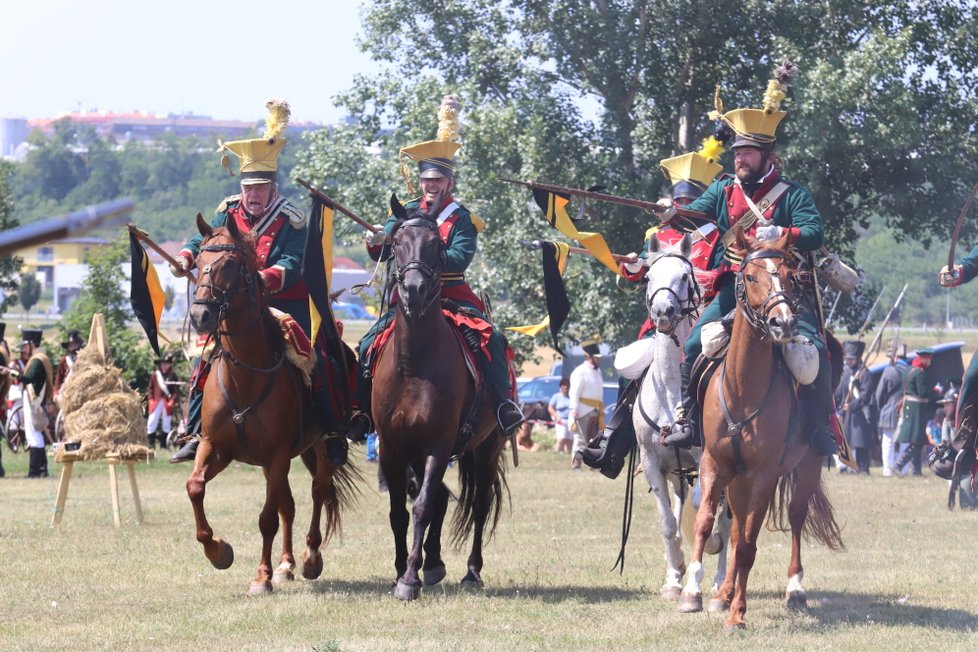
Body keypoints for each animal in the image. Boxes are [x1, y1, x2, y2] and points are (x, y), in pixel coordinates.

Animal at [187, 215, 354, 596]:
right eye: (198, 261)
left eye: (230, 264)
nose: (200, 315)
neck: (245, 374)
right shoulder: (216, 447)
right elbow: (195, 486)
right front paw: (219, 551)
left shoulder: (277, 455)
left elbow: (266, 519)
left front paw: (260, 577)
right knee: (288, 506)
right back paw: (285, 565)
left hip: (319, 450)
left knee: (317, 492)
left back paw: (308, 559)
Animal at [374, 199, 508, 600]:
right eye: (396, 241)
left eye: (436, 244)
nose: (415, 290)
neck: (414, 364)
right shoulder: (391, 446)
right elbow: (401, 512)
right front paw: (403, 571)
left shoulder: (438, 443)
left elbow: (421, 508)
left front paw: (408, 579)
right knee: (440, 499)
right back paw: (431, 564)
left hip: (487, 447)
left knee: (478, 504)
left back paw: (470, 571)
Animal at [628, 233, 728, 600]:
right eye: (648, 277)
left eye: (685, 276)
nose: (663, 312)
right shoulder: (654, 464)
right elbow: (668, 523)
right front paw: (673, 577)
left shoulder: (707, 462)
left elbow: (707, 515)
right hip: (675, 473)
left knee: (726, 519)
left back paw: (719, 582)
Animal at [680, 234, 840, 632]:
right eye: (750, 276)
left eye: (790, 275)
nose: (783, 323)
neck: (742, 388)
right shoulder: (714, 464)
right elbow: (706, 524)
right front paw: (693, 593)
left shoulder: (765, 474)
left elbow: (749, 545)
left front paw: (738, 613)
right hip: (737, 479)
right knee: (736, 527)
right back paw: (722, 594)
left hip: (805, 465)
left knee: (795, 516)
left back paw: (794, 589)